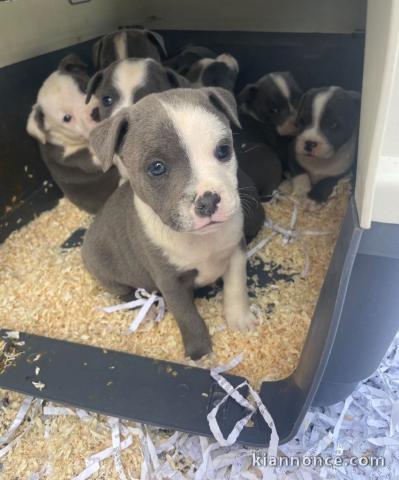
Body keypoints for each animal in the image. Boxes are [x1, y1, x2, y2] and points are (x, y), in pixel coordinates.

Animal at [83, 89, 260, 360]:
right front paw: (200, 353)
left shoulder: (236, 252)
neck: (201, 240)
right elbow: (189, 319)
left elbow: (236, 288)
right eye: (156, 168)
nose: (208, 201)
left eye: (223, 150)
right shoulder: (170, 283)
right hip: (105, 270)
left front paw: (240, 320)